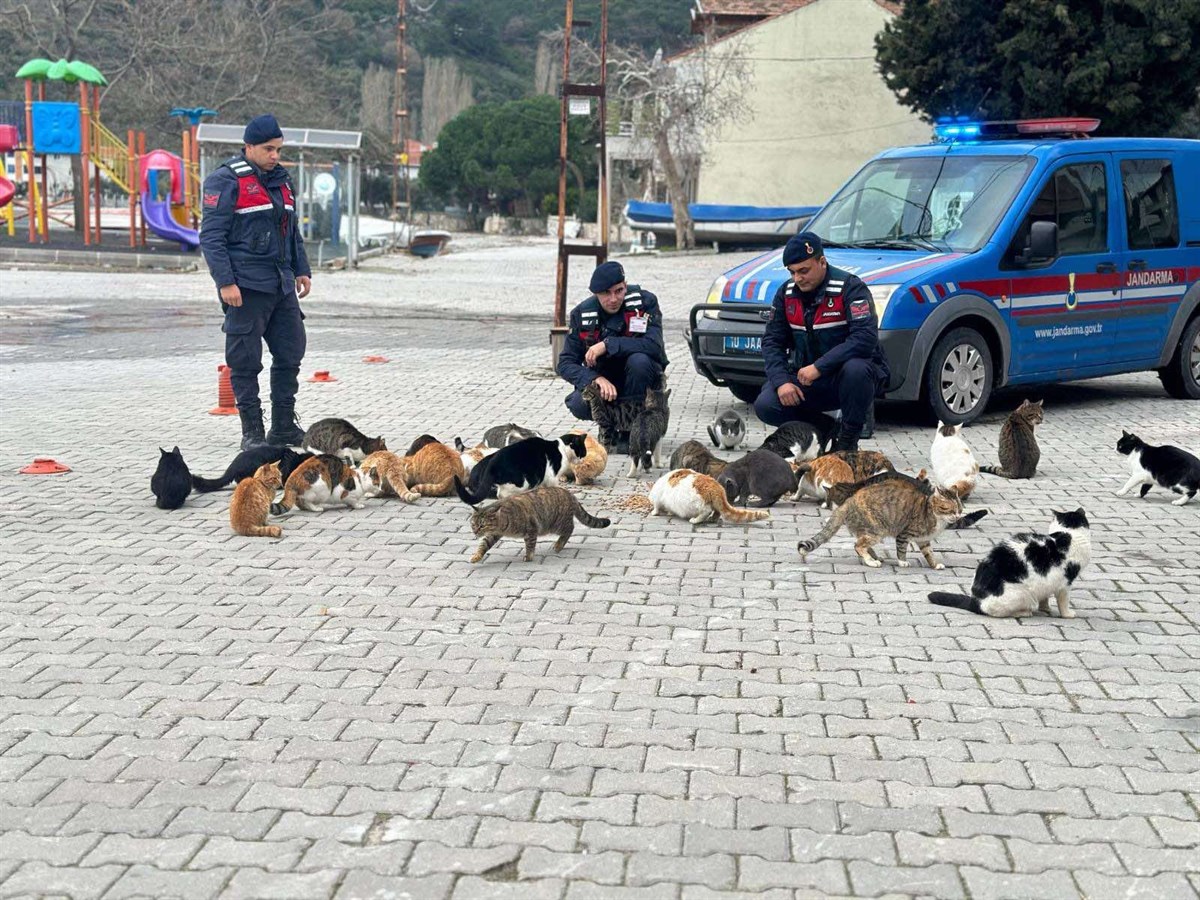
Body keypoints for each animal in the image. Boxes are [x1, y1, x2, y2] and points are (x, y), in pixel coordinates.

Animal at [451, 434, 588, 504]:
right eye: (583, 451)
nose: (582, 460)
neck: (561, 448)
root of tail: (492, 464)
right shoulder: (552, 477)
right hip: (522, 481)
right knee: (502, 494)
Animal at [458, 487, 609, 564]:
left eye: (482, 525)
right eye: (473, 524)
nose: (475, 531)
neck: (502, 524)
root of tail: (570, 494)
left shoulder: (531, 528)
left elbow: (530, 545)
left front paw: (529, 556)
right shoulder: (493, 534)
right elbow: (483, 545)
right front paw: (476, 556)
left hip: (556, 524)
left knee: (570, 529)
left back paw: (559, 545)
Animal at [796, 480, 964, 571]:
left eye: (960, 509)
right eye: (951, 509)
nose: (958, 516)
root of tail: (848, 501)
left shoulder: (924, 540)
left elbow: (929, 553)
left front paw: (934, 565)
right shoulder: (904, 533)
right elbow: (901, 550)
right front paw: (902, 562)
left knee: (862, 543)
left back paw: (873, 557)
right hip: (876, 530)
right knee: (858, 545)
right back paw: (871, 561)